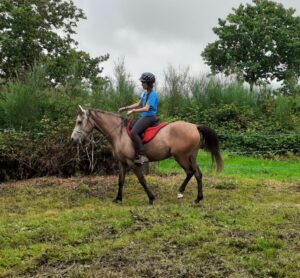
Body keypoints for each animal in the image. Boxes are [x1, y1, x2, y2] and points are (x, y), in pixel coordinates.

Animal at [71, 105, 223, 205]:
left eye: (79, 122)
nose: (73, 139)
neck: (119, 133)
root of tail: (195, 126)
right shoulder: (122, 162)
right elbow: (120, 180)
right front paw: (118, 198)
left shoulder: (132, 162)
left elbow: (142, 180)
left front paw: (151, 198)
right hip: (191, 157)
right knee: (197, 174)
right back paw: (196, 197)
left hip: (181, 157)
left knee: (190, 172)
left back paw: (184, 193)